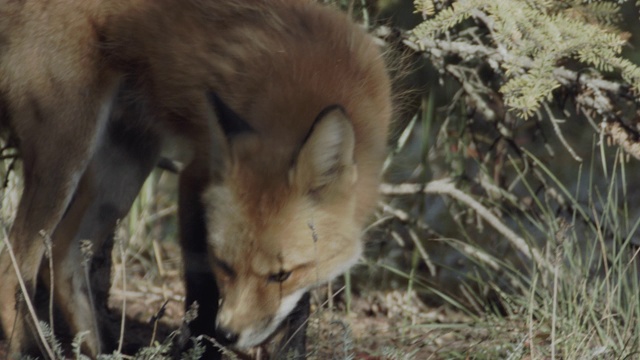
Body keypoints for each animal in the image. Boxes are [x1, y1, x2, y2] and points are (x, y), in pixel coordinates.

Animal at [0, 0, 390, 358]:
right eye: (225, 265)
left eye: (282, 275)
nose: (230, 334)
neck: (311, 81)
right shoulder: (195, 176)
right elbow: (201, 295)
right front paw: (203, 348)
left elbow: (296, 316)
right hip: (68, 151)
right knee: (13, 267)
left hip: (128, 163)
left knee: (62, 253)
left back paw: (101, 350)